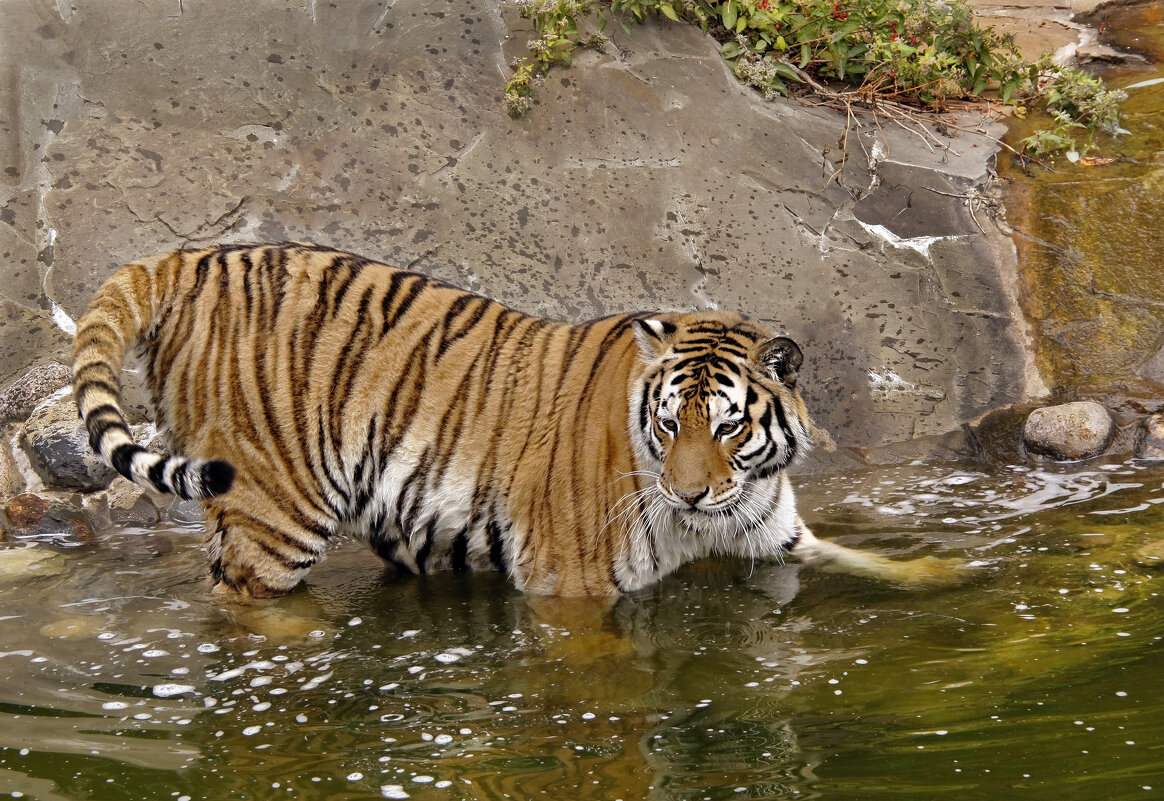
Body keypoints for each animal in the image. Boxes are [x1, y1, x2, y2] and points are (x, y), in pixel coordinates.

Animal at [75, 240, 963, 596]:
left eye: (729, 427)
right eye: (670, 425)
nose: (687, 495)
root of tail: (189, 256)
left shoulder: (773, 531)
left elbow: (858, 556)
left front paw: (947, 573)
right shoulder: (569, 584)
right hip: (273, 510)